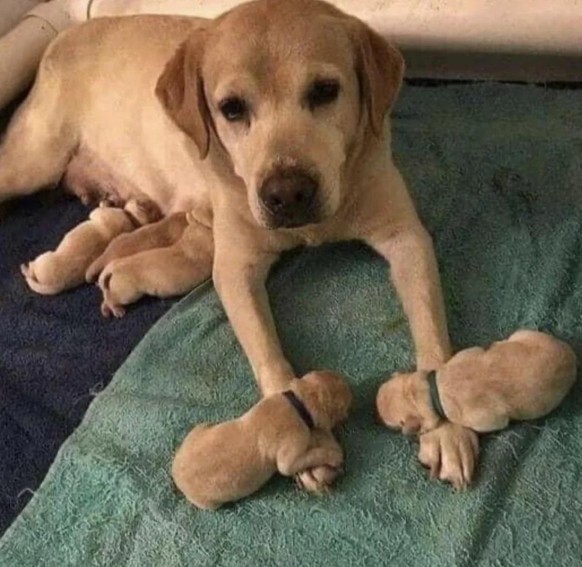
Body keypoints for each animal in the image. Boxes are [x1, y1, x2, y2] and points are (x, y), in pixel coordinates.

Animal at [0, 0, 480, 488]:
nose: (288, 194)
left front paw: (446, 425)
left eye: (325, 91)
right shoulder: (234, 267)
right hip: (31, 160)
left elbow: (431, 330)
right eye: (231, 108)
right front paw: (302, 430)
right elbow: (268, 353)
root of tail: (68, 31)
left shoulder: (407, 239)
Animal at [171, 370, 354, 512]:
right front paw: (334, 455)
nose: (349, 385)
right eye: (346, 407)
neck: (296, 403)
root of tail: (175, 473)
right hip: (208, 504)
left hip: (198, 429)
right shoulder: (290, 455)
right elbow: (302, 459)